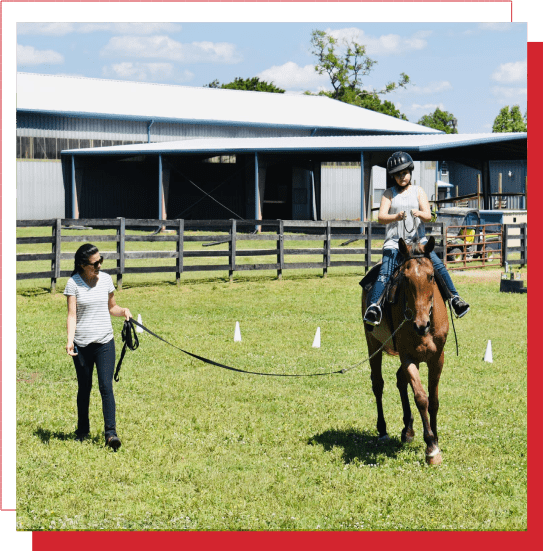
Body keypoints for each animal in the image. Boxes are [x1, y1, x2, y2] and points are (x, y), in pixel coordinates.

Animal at [362, 237, 450, 466]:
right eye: (405, 278)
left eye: (431, 276)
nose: (421, 325)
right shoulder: (408, 357)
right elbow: (421, 397)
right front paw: (431, 447)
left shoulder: (437, 358)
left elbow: (433, 400)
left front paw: (436, 438)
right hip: (373, 343)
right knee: (378, 384)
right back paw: (383, 430)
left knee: (400, 381)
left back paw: (408, 429)